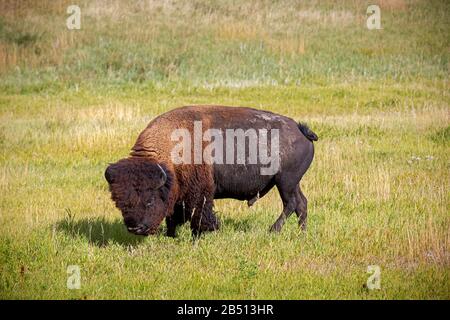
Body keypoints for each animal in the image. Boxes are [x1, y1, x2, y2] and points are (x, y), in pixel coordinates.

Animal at [105, 105, 316, 238]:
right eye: (119, 203)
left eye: (149, 201)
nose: (135, 228)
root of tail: (300, 129)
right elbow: (174, 214)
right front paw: (171, 235)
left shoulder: (200, 192)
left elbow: (199, 214)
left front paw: (200, 234)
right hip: (292, 183)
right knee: (301, 203)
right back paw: (302, 233)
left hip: (285, 181)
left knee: (291, 203)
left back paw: (273, 230)